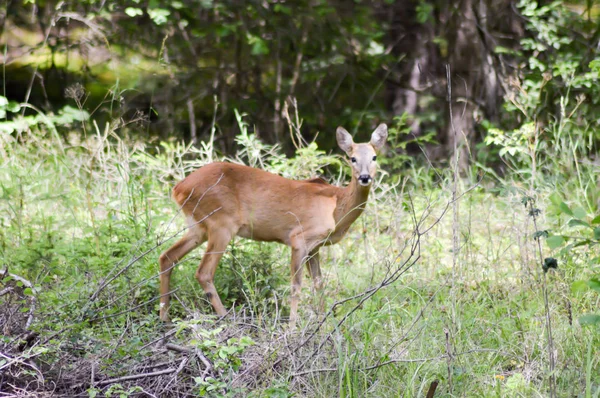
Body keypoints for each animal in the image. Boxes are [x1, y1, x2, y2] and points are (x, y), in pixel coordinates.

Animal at [157, 124, 386, 326]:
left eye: (374, 157)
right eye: (352, 158)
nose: (365, 177)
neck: (337, 206)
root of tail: (178, 188)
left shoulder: (316, 247)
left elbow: (319, 284)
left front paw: (325, 326)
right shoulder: (298, 238)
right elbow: (296, 286)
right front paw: (292, 329)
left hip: (198, 226)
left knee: (167, 256)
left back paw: (164, 317)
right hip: (220, 224)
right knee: (203, 272)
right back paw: (227, 319)